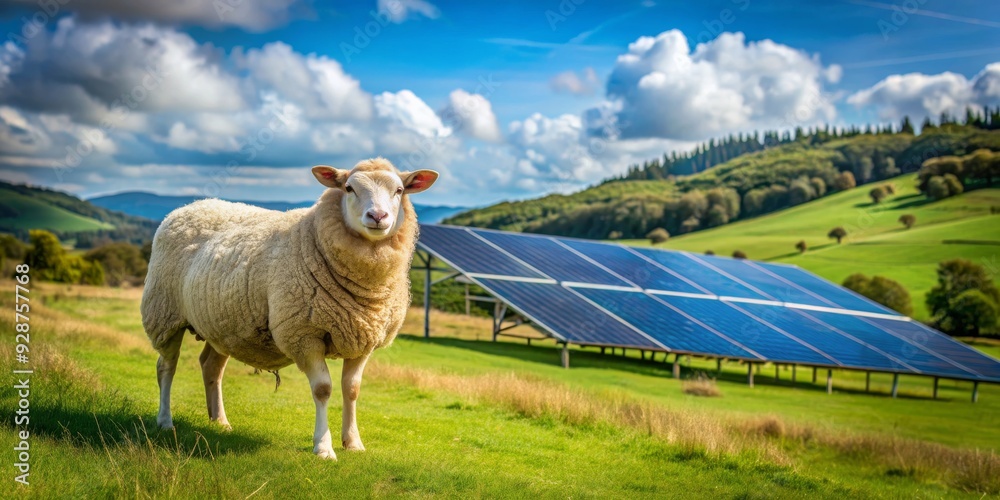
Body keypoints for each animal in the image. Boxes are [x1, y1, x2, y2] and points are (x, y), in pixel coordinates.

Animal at [141, 157, 438, 460]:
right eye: (349, 188)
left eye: (399, 190)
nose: (377, 216)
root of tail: (190, 206)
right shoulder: (303, 334)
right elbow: (323, 389)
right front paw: (323, 447)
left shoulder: (363, 339)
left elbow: (352, 389)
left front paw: (353, 443)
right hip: (164, 314)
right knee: (166, 367)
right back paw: (165, 421)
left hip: (221, 325)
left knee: (211, 367)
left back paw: (220, 421)